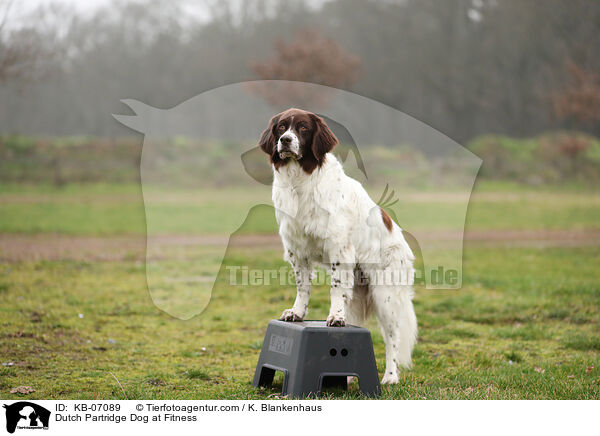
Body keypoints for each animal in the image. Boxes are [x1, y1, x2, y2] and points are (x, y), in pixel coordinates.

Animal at [258, 107, 418, 384]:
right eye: (281, 127)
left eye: (303, 128)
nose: (285, 141)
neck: (300, 181)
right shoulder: (296, 249)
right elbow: (303, 287)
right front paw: (297, 313)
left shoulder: (338, 249)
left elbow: (334, 289)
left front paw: (334, 318)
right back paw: (349, 378)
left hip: (385, 295)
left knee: (393, 338)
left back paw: (390, 376)